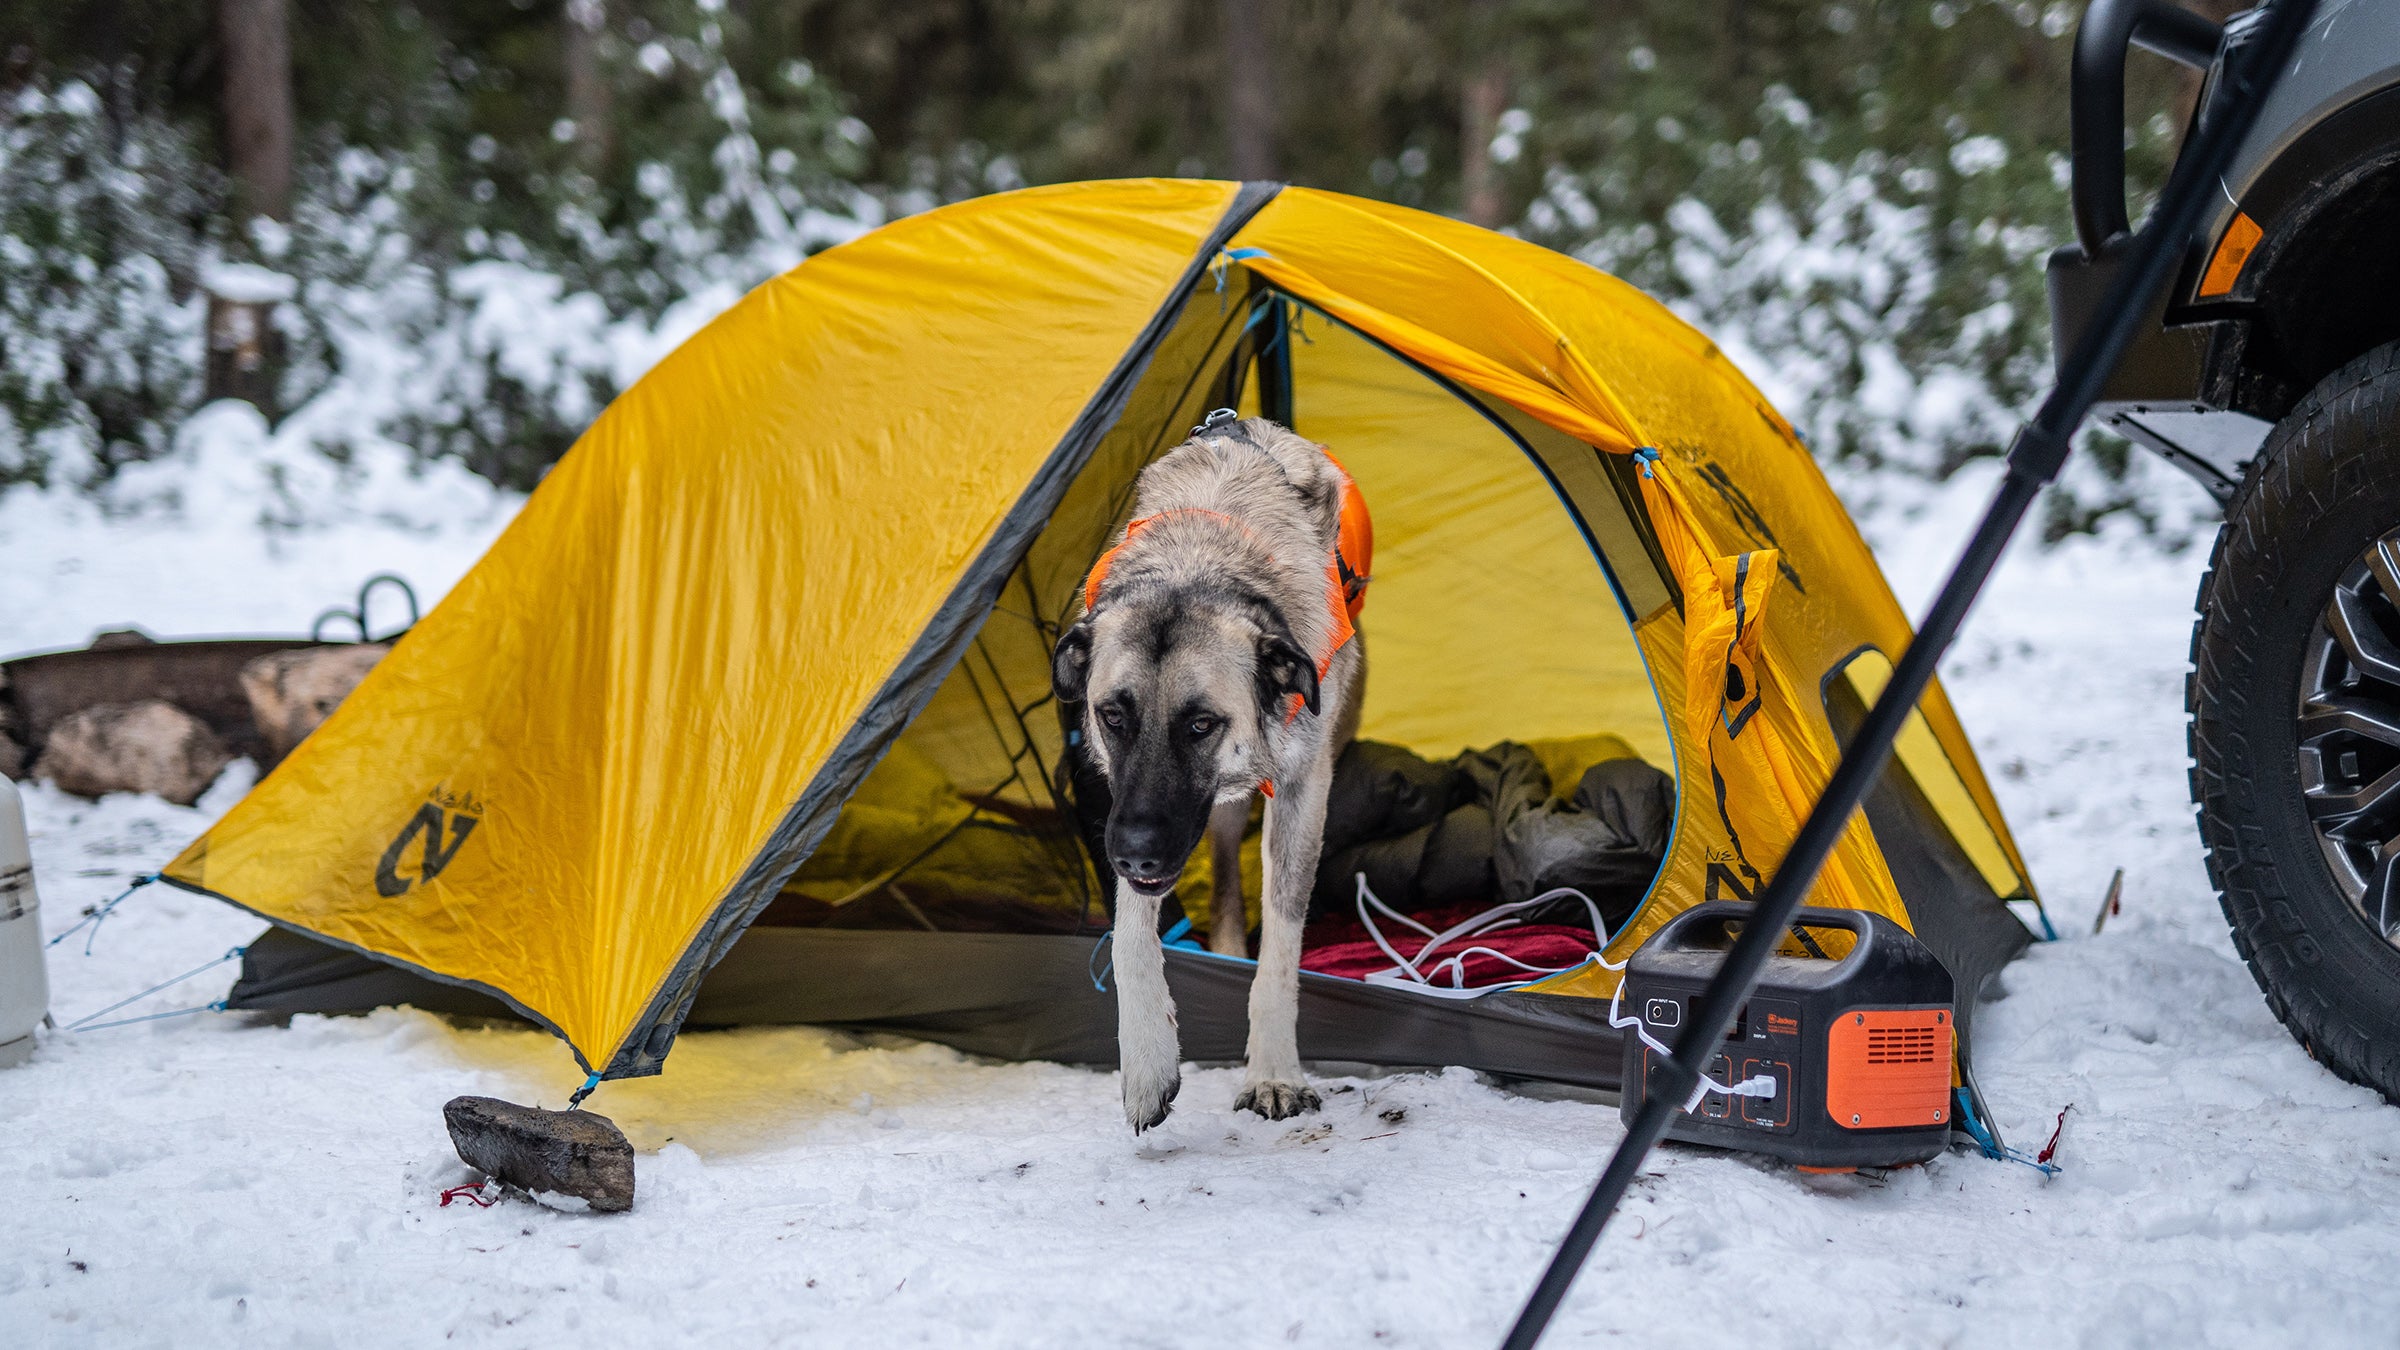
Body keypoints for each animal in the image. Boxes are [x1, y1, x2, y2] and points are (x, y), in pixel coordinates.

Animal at [1051, 408, 1372, 1124]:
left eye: (1200, 724)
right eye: (1112, 716)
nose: (1136, 853)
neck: (1194, 563)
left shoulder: (1302, 788)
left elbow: (1281, 945)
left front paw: (1274, 1071)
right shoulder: (1126, 810)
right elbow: (1130, 934)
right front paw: (1147, 1062)